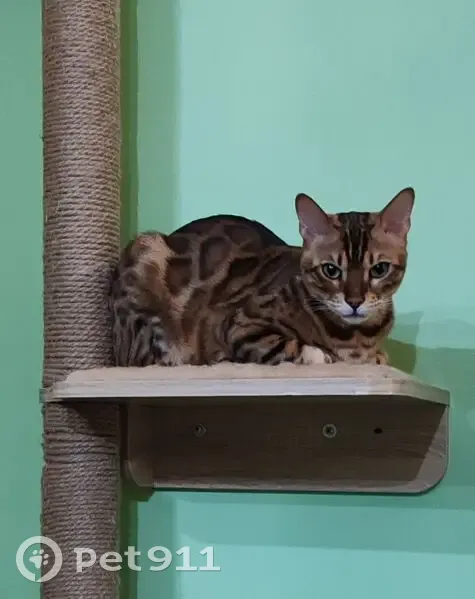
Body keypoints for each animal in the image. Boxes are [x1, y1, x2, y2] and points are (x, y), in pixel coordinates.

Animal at [110, 187, 414, 367]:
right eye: (331, 270)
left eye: (379, 269)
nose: (354, 301)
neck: (356, 338)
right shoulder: (237, 324)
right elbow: (288, 346)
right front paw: (322, 355)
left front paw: (377, 356)